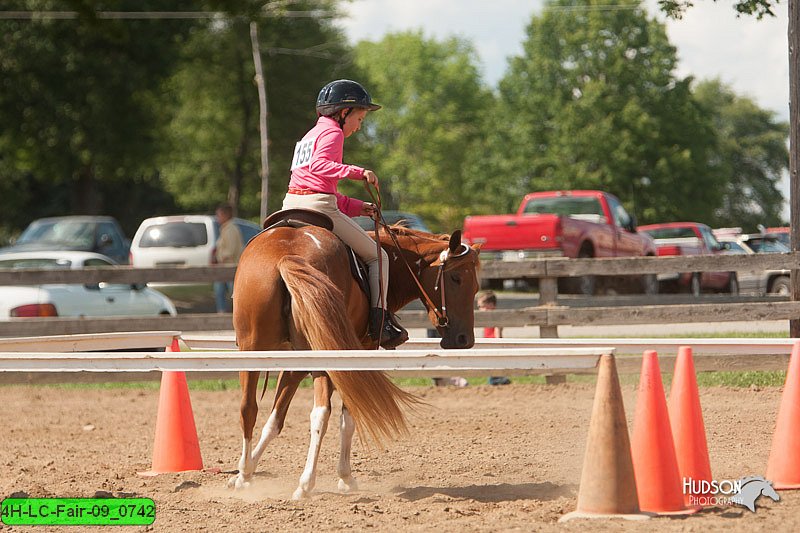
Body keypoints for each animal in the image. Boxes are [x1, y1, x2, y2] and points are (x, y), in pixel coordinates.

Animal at [228, 219, 478, 494]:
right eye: (455, 278)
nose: (464, 340)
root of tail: (287, 256)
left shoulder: (295, 363)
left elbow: (275, 420)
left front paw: (245, 473)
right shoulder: (358, 354)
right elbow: (347, 417)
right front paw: (345, 477)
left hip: (252, 349)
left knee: (248, 408)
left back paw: (249, 471)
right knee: (320, 413)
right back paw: (306, 483)